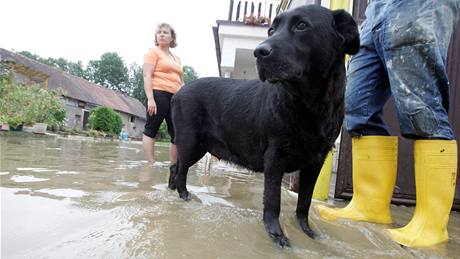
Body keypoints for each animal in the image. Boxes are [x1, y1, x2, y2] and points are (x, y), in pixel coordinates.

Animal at [170, 4, 360, 248]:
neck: (310, 105)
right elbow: (273, 201)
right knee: (180, 169)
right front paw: (276, 234)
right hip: (190, 142)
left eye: (302, 25)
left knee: (174, 167)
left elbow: (304, 202)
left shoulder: (316, 161)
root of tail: (178, 92)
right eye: (271, 30)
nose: (259, 52)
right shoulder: (275, 157)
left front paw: (307, 231)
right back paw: (183, 194)